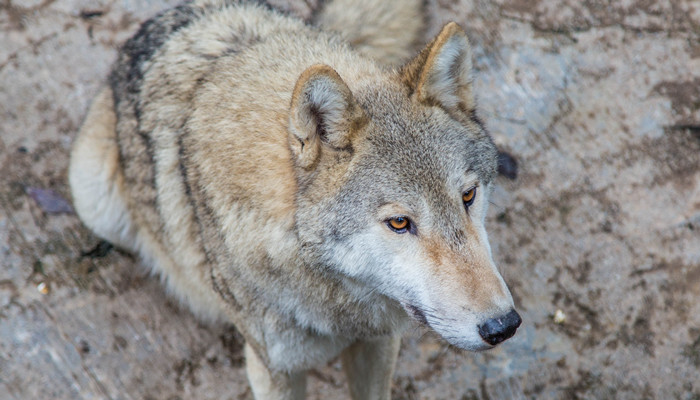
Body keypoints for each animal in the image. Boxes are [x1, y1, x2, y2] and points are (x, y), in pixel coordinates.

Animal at [69, 1, 520, 398]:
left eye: (468, 195)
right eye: (399, 223)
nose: (503, 326)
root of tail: (156, 21)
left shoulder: (378, 343)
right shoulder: (275, 369)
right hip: (93, 196)